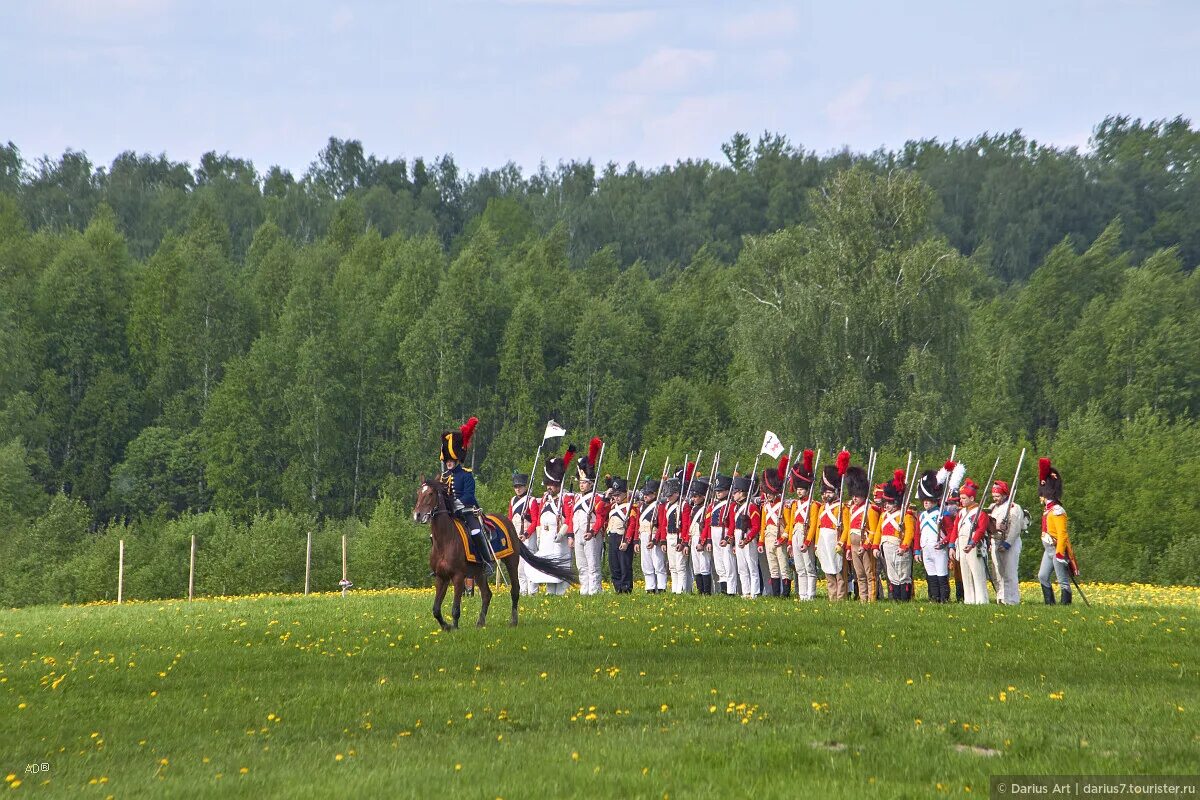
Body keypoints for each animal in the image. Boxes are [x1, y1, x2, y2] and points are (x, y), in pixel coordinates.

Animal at [412, 479, 576, 628]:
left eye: (430, 493)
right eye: (418, 493)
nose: (417, 515)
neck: (445, 540)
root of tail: (508, 522)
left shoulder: (458, 576)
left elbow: (455, 609)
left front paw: (455, 628)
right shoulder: (441, 577)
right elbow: (436, 609)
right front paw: (445, 627)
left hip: (511, 562)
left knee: (514, 590)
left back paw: (513, 621)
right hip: (478, 572)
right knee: (486, 594)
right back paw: (480, 622)